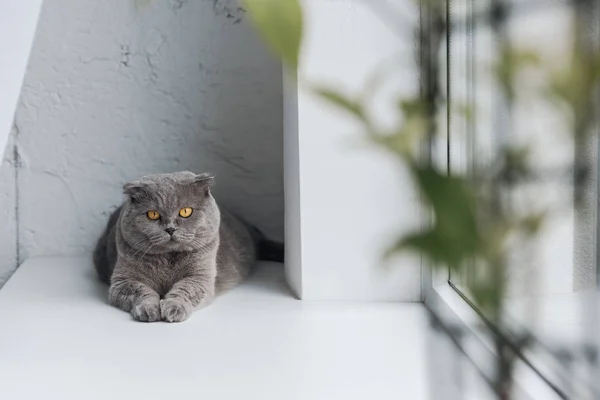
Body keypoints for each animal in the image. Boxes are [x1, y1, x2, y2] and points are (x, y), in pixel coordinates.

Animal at [93, 171, 284, 322]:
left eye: (185, 211)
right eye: (152, 214)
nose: (170, 229)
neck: (168, 260)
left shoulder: (200, 277)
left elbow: (186, 290)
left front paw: (174, 308)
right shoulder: (123, 281)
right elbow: (140, 291)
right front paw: (149, 309)